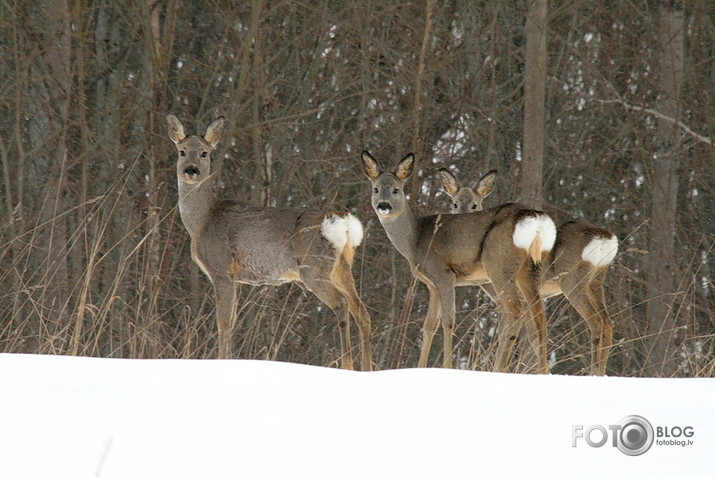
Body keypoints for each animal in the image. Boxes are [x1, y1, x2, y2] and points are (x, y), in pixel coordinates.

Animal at [166, 114, 372, 368]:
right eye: (182, 151)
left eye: (204, 153)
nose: (191, 170)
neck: (203, 221)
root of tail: (343, 223)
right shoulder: (236, 277)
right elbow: (232, 321)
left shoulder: (221, 269)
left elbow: (223, 322)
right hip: (341, 267)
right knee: (361, 309)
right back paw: (367, 367)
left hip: (313, 267)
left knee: (342, 304)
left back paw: (347, 364)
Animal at [364, 152, 560, 372]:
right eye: (376, 188)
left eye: (396, 189)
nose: (383, 205)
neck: (415, 240)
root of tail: (536, 219)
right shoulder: (432, 285)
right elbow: (429, 325)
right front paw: (421, 366)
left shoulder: (444, 274)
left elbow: (448, 322)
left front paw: (447, 366)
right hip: (529, 269)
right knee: (538, 316)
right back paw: (542, 371)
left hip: (498, 265)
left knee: (516, 311)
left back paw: (501, 367)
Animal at [440, 167, 620, 376]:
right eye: (454, 203)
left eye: (474, 205)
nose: (461, 219)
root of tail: (606, 238)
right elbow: (531, 335)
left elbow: (509, 332)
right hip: (596, 281)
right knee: (607, 323)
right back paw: (600, 371)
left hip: (573, 280)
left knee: (596, 322)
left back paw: (593, 371)